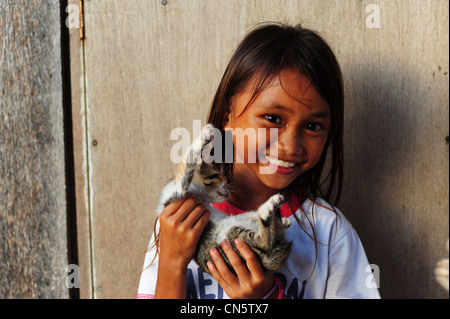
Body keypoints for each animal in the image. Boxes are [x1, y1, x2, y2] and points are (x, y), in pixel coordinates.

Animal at [156, 124, 294, 274]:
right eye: (220, 175)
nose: (229, 188)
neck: (200, 197)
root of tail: (266, 263)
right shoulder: (179, 192)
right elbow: (189, 161)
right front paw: (204, 136)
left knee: (268, 239)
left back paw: (272, 211)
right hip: (234, 239)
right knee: (265, 242)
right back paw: (269, 211)